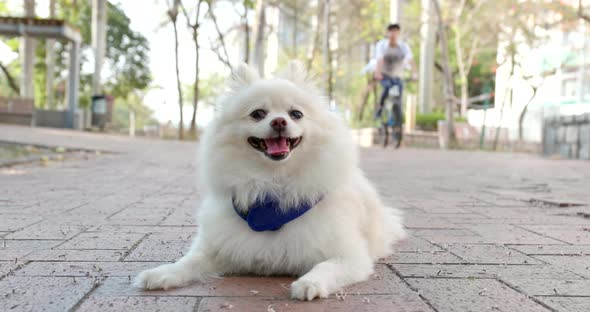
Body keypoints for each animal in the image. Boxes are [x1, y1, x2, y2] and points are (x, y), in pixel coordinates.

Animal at [135, 60, 408, 300]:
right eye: (257, 114)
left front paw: (309, 283)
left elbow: (325, 267)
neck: (272, 185)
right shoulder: (217, 248)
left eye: (296, 114)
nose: (279, 121)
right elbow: (188, 261)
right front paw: (160, 273)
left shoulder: (349, 256)